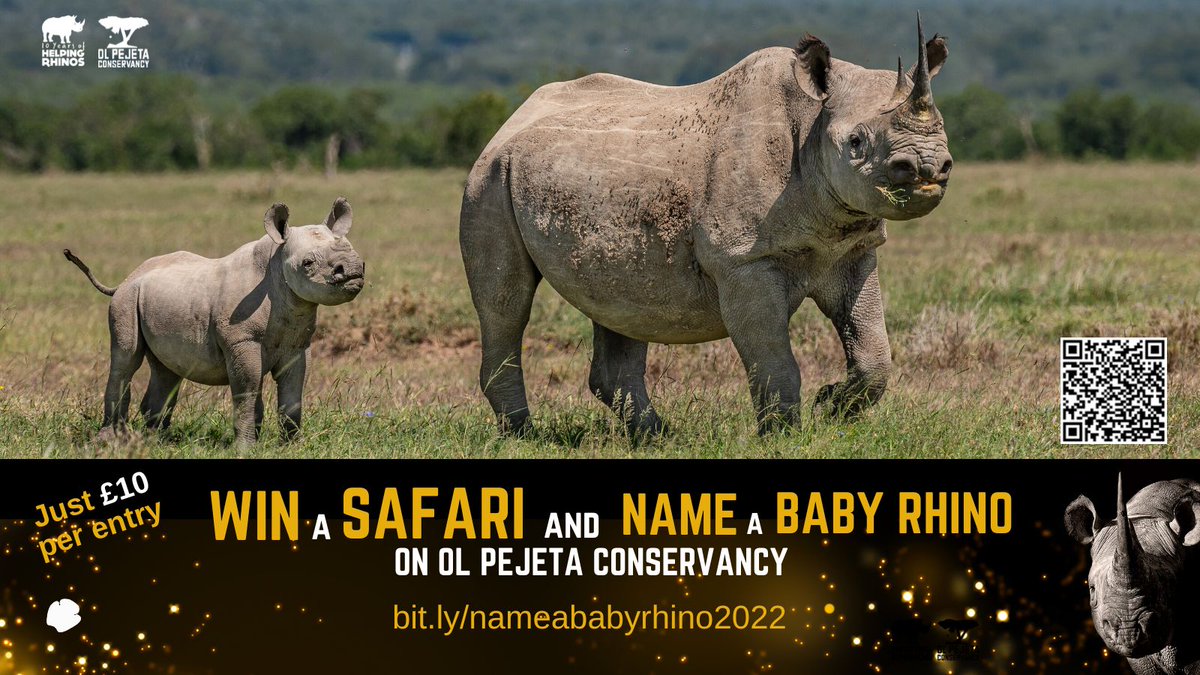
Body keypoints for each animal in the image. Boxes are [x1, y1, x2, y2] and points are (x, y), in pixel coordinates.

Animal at [65, 199, 365, 447]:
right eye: (307, 263)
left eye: (353, 251)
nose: (353, 269)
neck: (276, 263)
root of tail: (126, 279)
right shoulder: (241, 340)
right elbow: (247, 392)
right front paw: (246, 449)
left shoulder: (298, 345)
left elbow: (293, 394)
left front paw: (291, 447)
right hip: (126, 300)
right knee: (126, 359)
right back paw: (111, 442)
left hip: (159, 300)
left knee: (166, 370)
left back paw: (157, 441)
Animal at [460, 16, 952, 438]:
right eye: (855, 142)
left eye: (944, 130)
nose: (928, 167)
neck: (813, 119)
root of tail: (513, 118)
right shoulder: (743, 260)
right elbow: (773, 358)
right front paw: (784, 436)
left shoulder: (851, 250)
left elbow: (874, 353)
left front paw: (831, 407)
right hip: (489, 179)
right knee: (506, 303)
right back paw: (523, 434)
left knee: (621, 298)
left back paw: (655, 437)